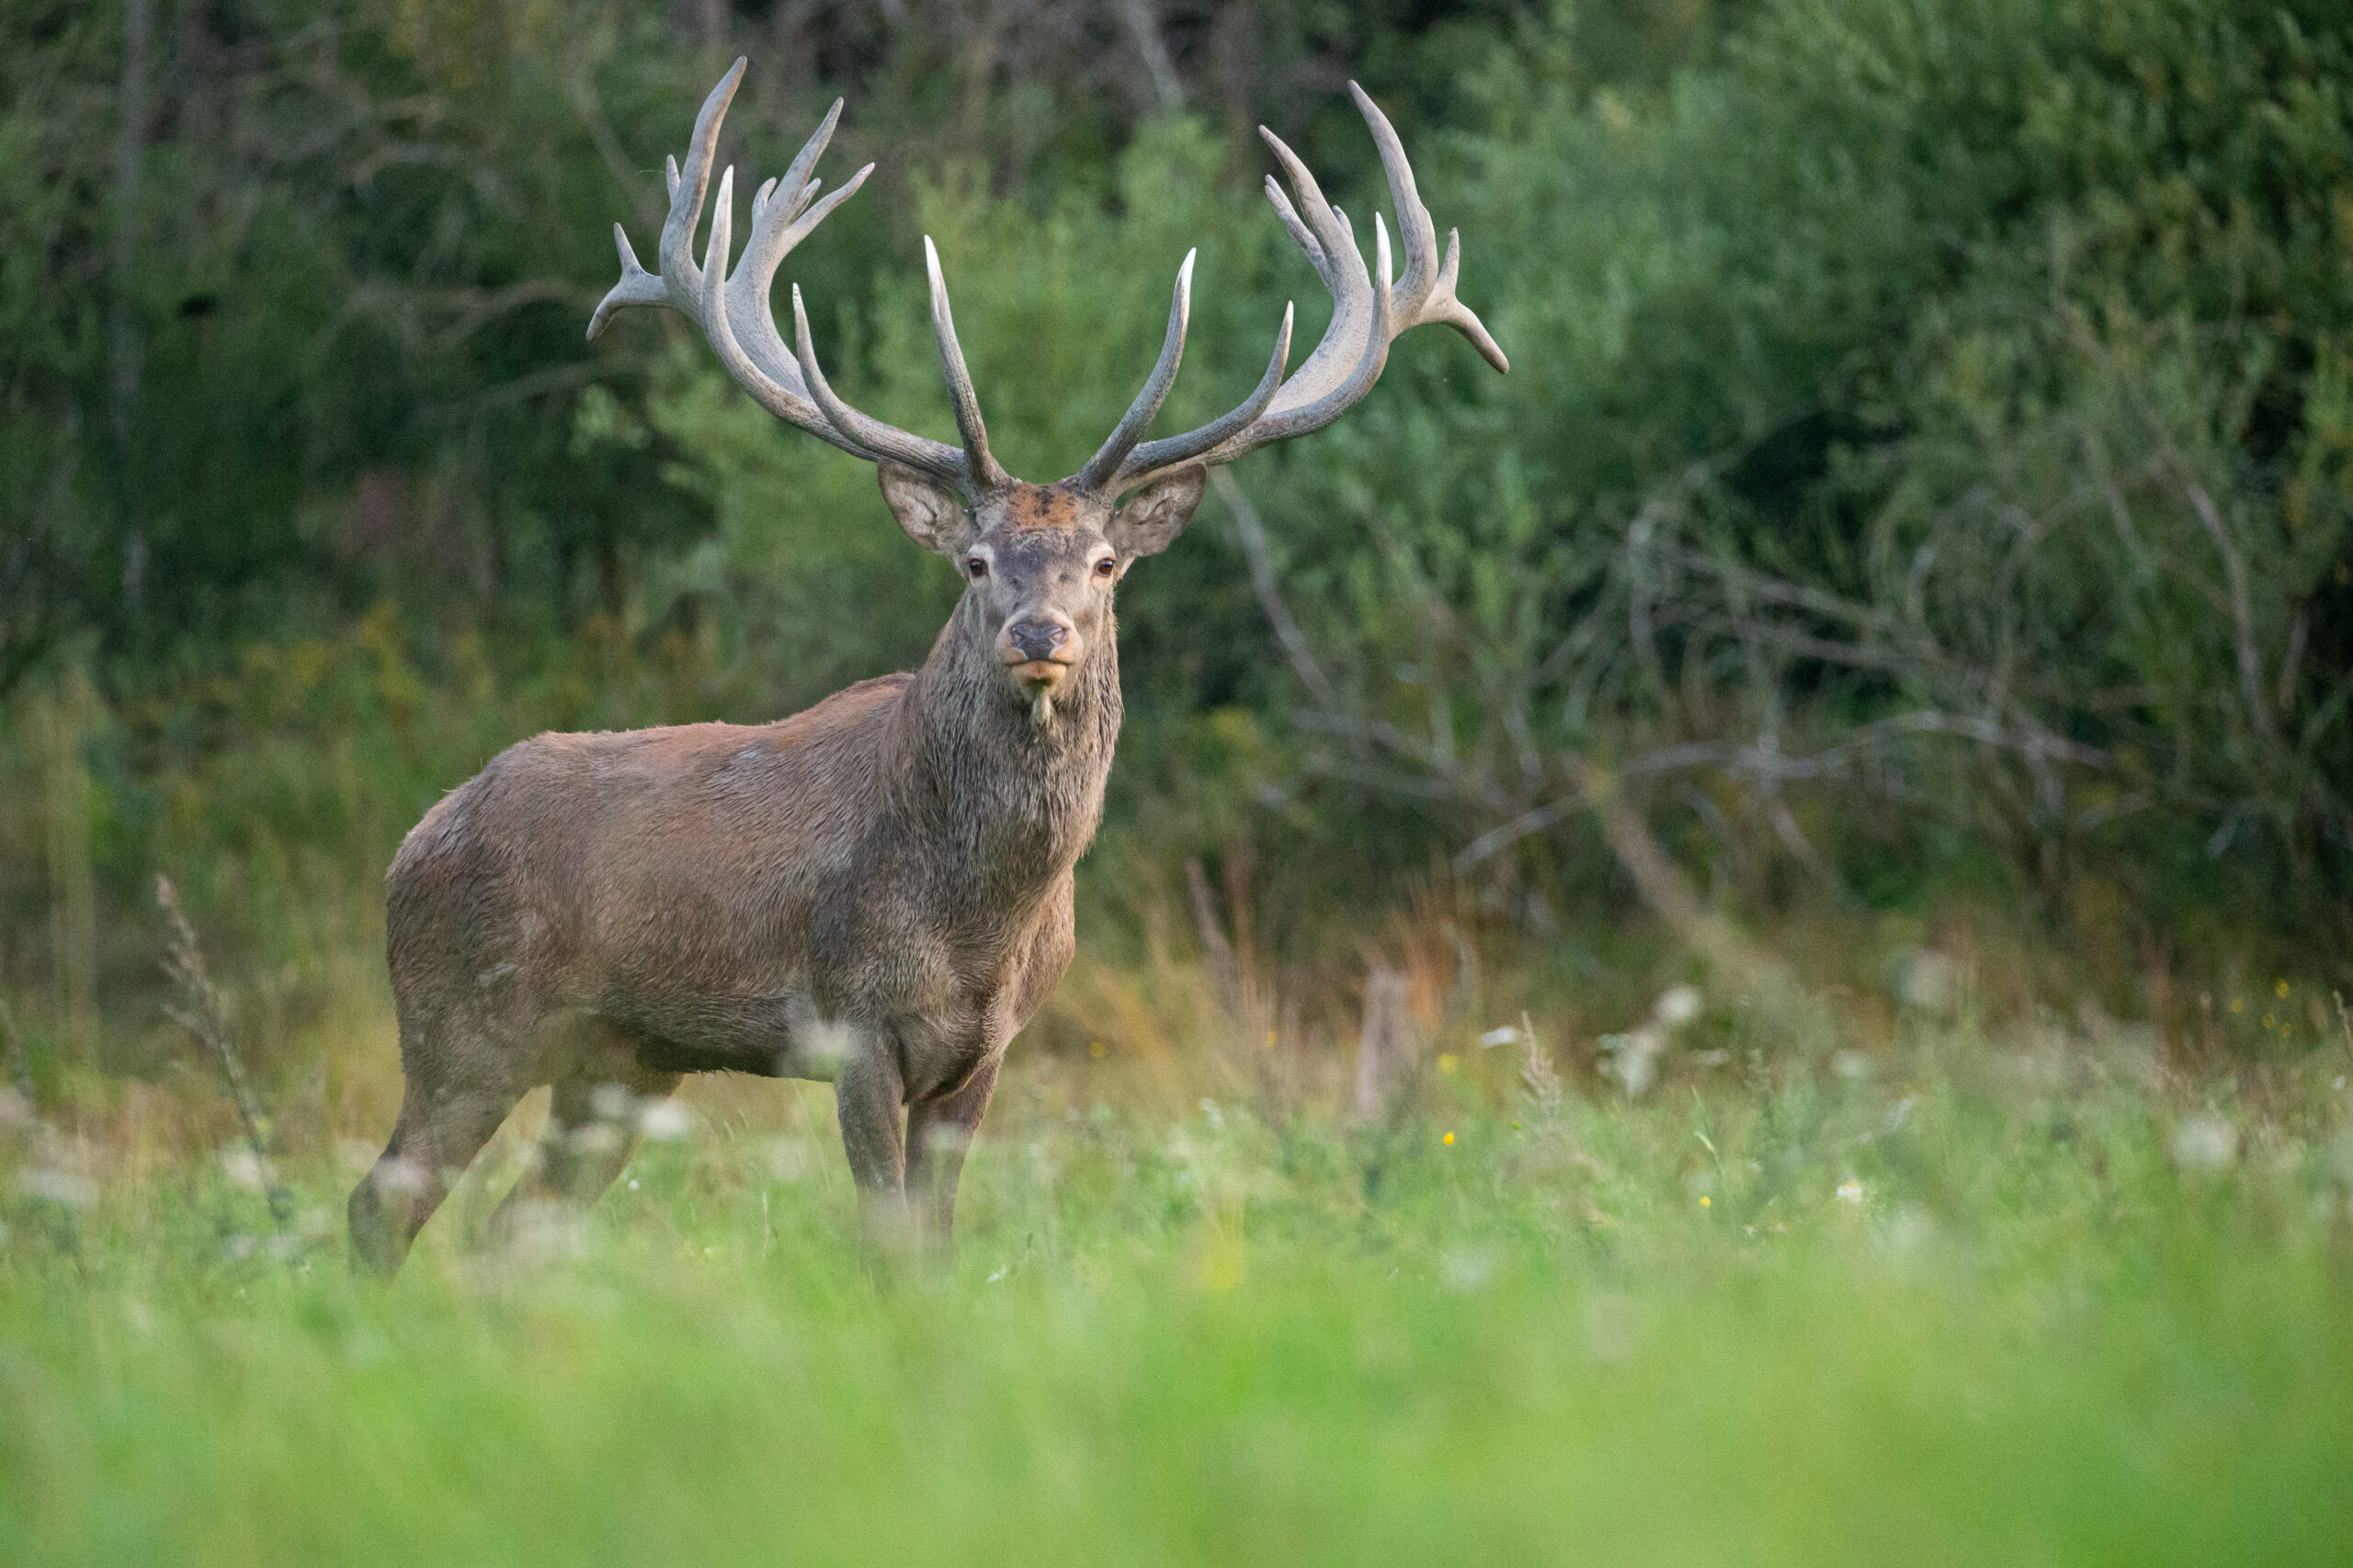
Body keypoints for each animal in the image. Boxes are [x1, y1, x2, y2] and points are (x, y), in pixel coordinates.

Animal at [347, 57, 1506, 1275]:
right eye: (976, 559)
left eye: (1104, 562)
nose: (1039, 634)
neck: (980, 927)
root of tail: (412, 841)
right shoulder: (852, 1025)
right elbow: (885, 1241)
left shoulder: (987, 1050)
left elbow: (938, 1242)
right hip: (465, 1022)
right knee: (382, 1200)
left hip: (619, 1061)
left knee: (510, 1231)